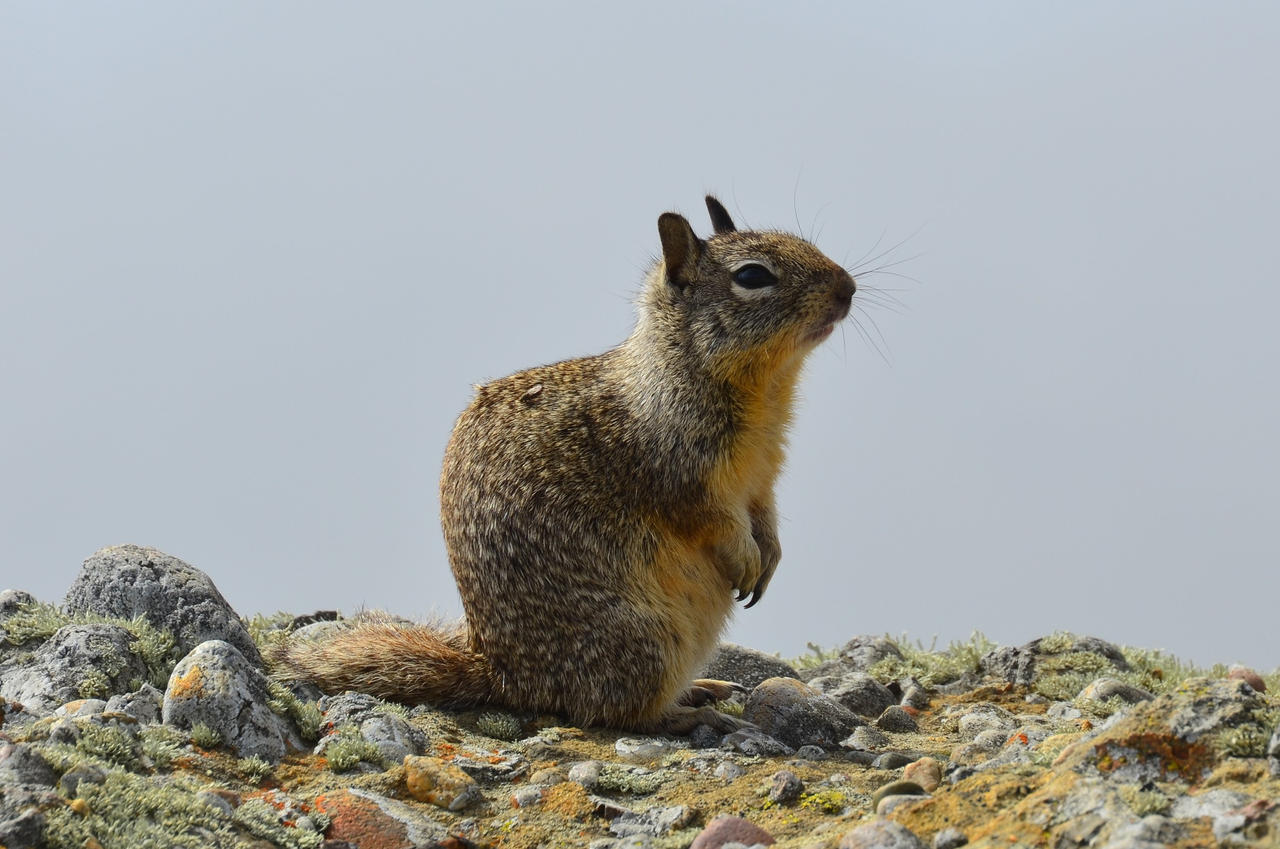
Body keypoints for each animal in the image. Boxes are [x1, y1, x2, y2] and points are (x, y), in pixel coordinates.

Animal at [274, 196, 855, 733]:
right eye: (753, 275)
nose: (848, 288)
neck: (763, 390)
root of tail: (502, 676)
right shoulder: (678, 471)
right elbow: (711, 518)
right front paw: (746, 556)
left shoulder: (762, 477)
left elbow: (764, 513)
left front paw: (770, 555)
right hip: (645, 639)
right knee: (617, 712)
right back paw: (689, 714)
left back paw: (702, 689)